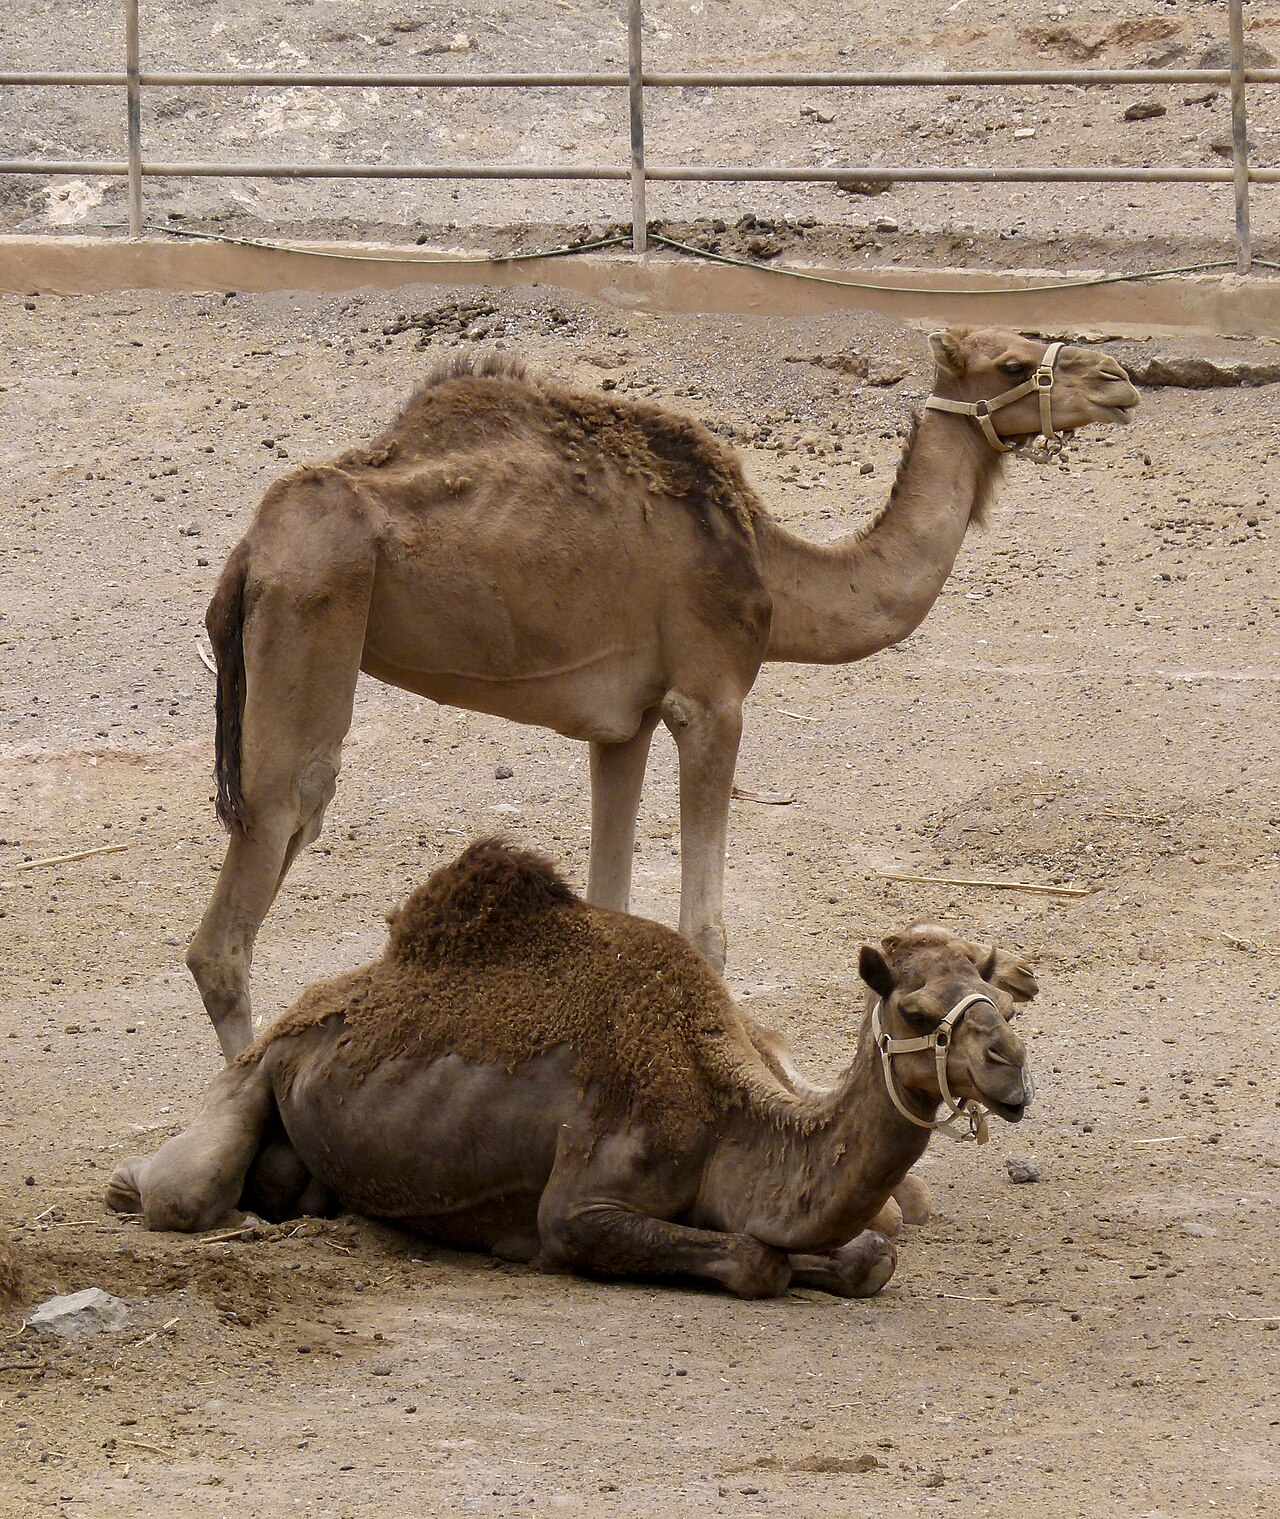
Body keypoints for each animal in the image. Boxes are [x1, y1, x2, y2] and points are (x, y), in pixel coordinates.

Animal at [110, 839, 1039, 1300]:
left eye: (1000, 994)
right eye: (914, 1010)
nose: (1011, 1069)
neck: (728, 1116)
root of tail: (305, 1009)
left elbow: (865, 1253)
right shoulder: (578, 1205)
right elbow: (753, 1260)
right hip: (255, 1073)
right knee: (183, 1190)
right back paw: (133, 1185)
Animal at [190, 327, 1134, 1058]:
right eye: (1013, 364)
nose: (1119, 379)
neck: (772, 574)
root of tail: (249, 554)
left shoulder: (625, 723)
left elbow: (611, 909)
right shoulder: (709, 697)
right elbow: (702, 932)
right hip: (312, 616)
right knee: (251, 884)